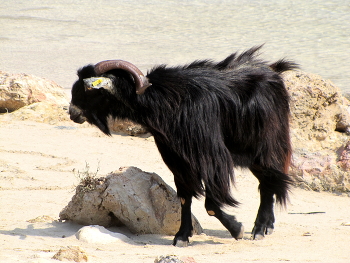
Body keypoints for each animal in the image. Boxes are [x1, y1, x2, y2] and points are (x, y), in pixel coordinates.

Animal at [69, 46, 298, 248]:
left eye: (89, 90)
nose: (72, 112)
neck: (164, 101)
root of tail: (273, 72)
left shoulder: (212, 158)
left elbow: (211, 205)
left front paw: (237, 229)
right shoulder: (178, 161)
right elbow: (184, 198)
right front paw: (181, 236)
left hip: (267, 146)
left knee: (268, 182)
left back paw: (259, 229)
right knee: (268, 183)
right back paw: (267, 226)